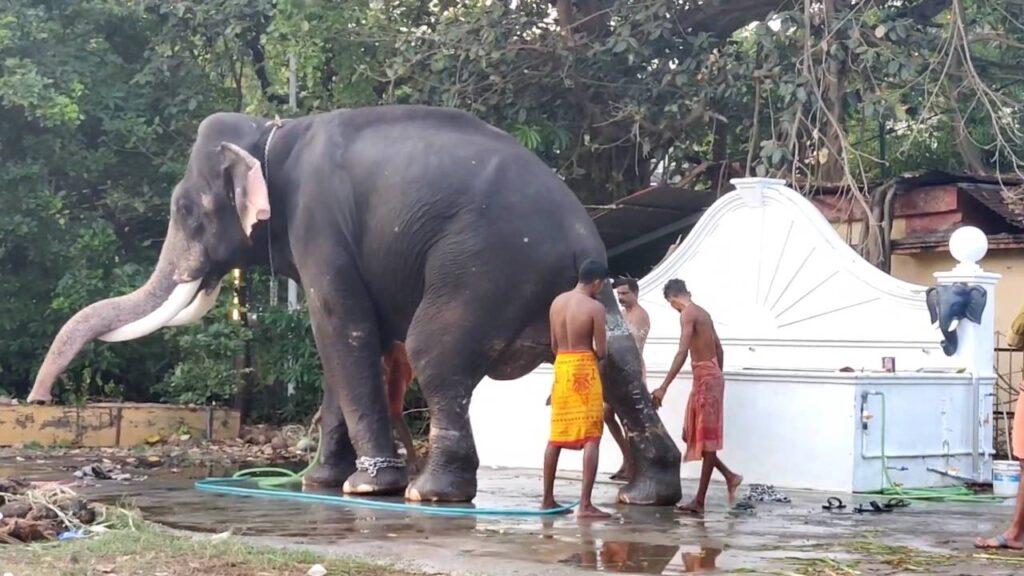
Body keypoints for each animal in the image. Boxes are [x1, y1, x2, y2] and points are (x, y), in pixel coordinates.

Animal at [25, 104, 679, 502]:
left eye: (188, 211)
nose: (37, 400)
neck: (272, 131)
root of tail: (579, 235)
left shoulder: (318, 223)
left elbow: (341, 328)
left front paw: (366, 489)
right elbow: (350, 343)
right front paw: (319, 482)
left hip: (485, 266)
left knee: (434, 352)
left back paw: (428, 492)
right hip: (582, 291)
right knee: (623, 362)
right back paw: (647, 495)